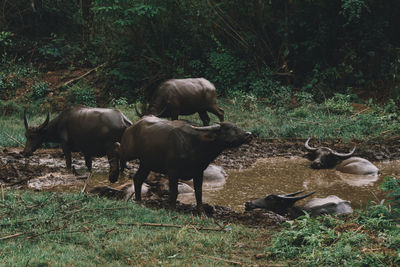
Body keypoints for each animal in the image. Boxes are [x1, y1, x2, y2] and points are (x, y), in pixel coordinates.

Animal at [111, 116, 252, 215]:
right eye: (228, 129)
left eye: (236, 126)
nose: (249, 134)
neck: (195, 145)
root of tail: (131, 127)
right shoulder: (173, 172)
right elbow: (174, 192)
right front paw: (172, 210)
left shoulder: (198, 172)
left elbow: (199, 192)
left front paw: (202, 213)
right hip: (129, 152)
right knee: (116, 147)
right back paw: (113, 173)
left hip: (146, 164)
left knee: (138, 179)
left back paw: (139, 201)